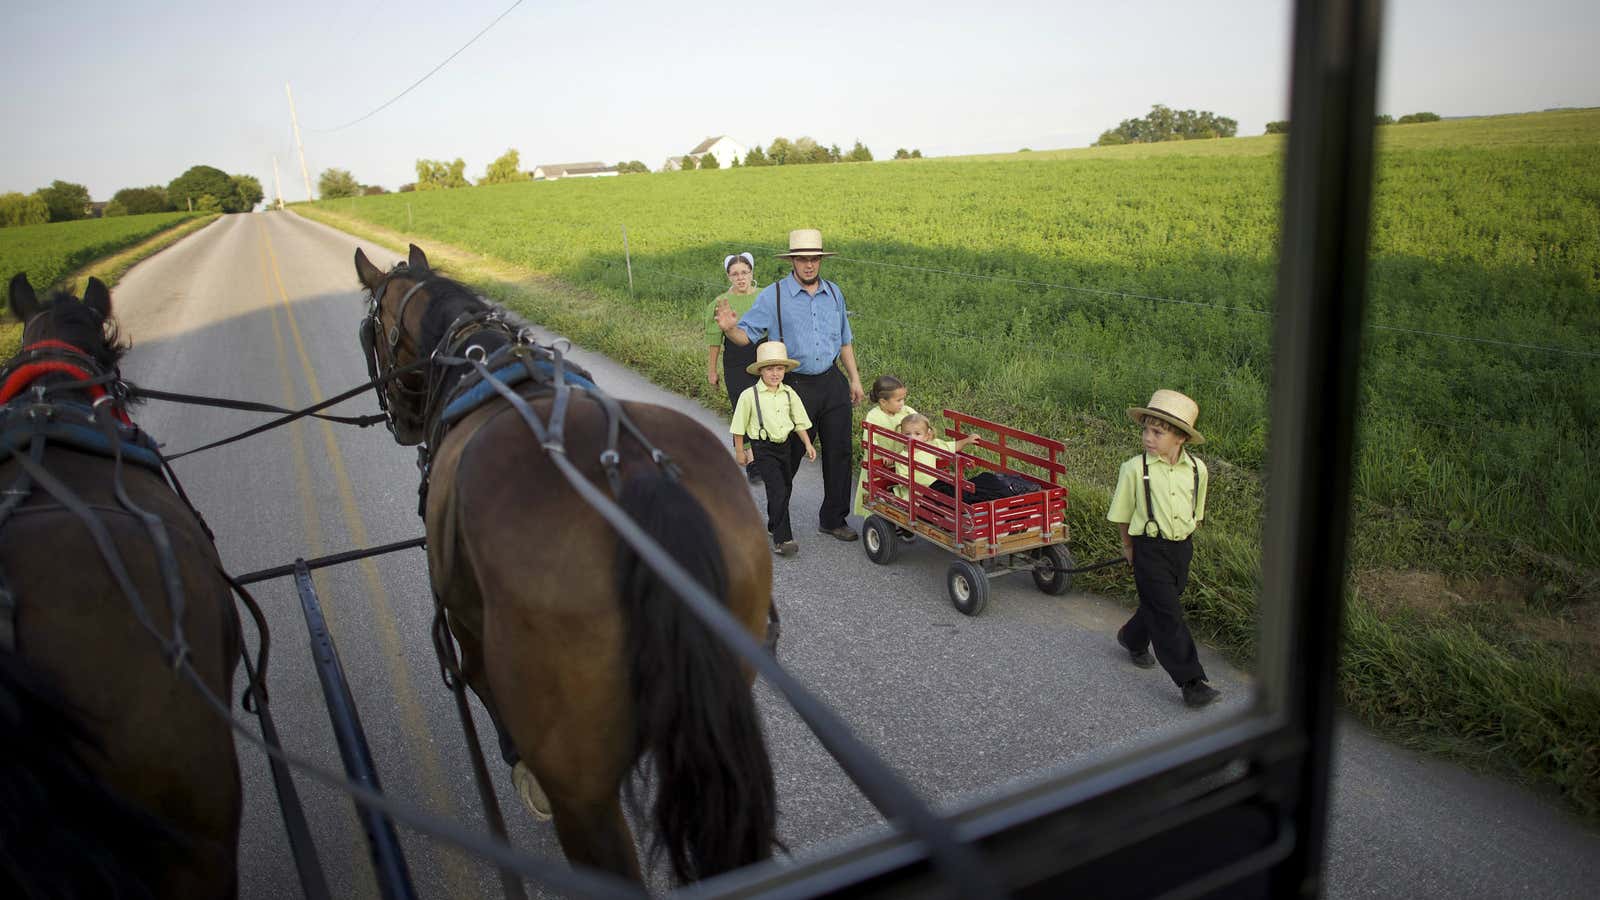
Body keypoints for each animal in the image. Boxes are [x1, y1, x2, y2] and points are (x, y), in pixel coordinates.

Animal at [355, 245, 774, 883]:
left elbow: (480, 683)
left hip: (584, 794)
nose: (399, 424)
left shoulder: (467, 625)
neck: (482, 364)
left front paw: (521, 773)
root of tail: (638, 480)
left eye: (372, 329)